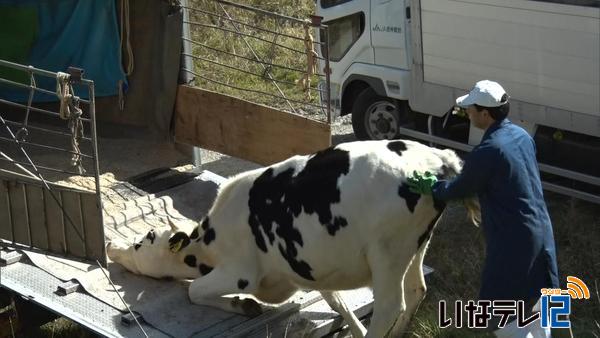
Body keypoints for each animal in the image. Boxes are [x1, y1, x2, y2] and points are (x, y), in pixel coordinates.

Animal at [108, 139, 478, 336]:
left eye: (143, 240)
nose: (112, 247)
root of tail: (437, 157)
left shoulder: (241, 273)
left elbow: (194, 291)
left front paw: (243, 305)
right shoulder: (312, 268)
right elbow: (336, 301)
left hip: (388, 253)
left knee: (390, 305)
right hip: (416, 246)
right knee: (417, 290)